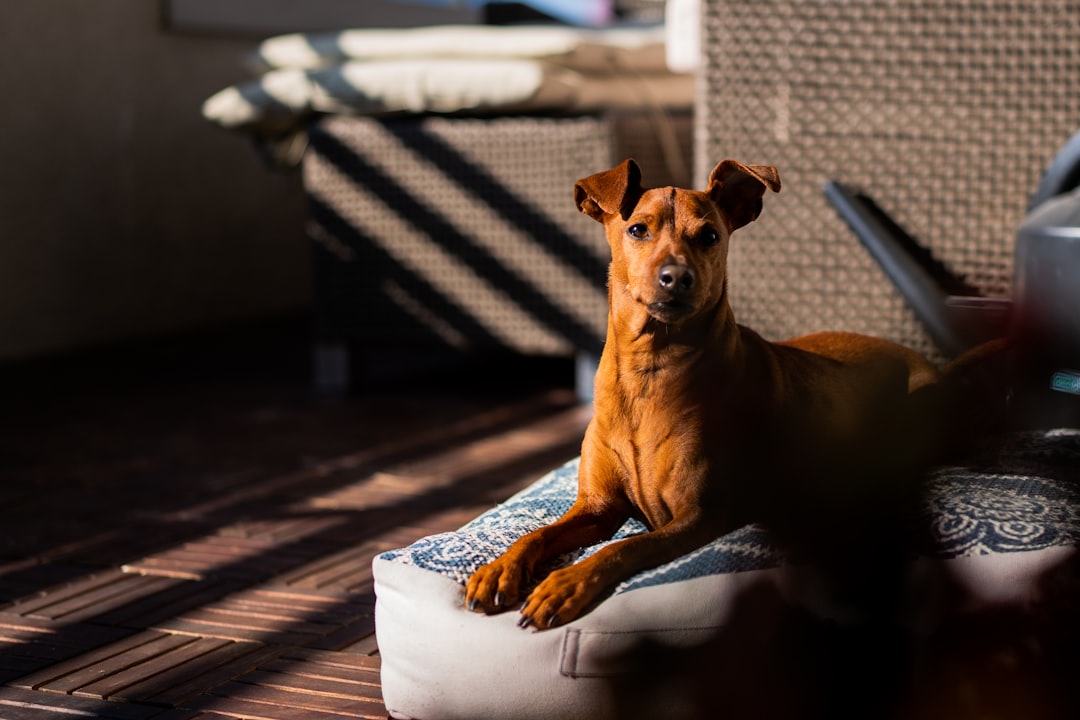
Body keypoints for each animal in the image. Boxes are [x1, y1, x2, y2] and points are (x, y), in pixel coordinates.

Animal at [464, 158, 946, 630]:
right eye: (637, 229)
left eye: (710, 236)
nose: (677, 276)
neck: (649, 370)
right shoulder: (597, 508)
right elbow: (537, 534)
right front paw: (500, 568)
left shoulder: (698, 517)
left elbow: (622, 548)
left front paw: (565, 584)